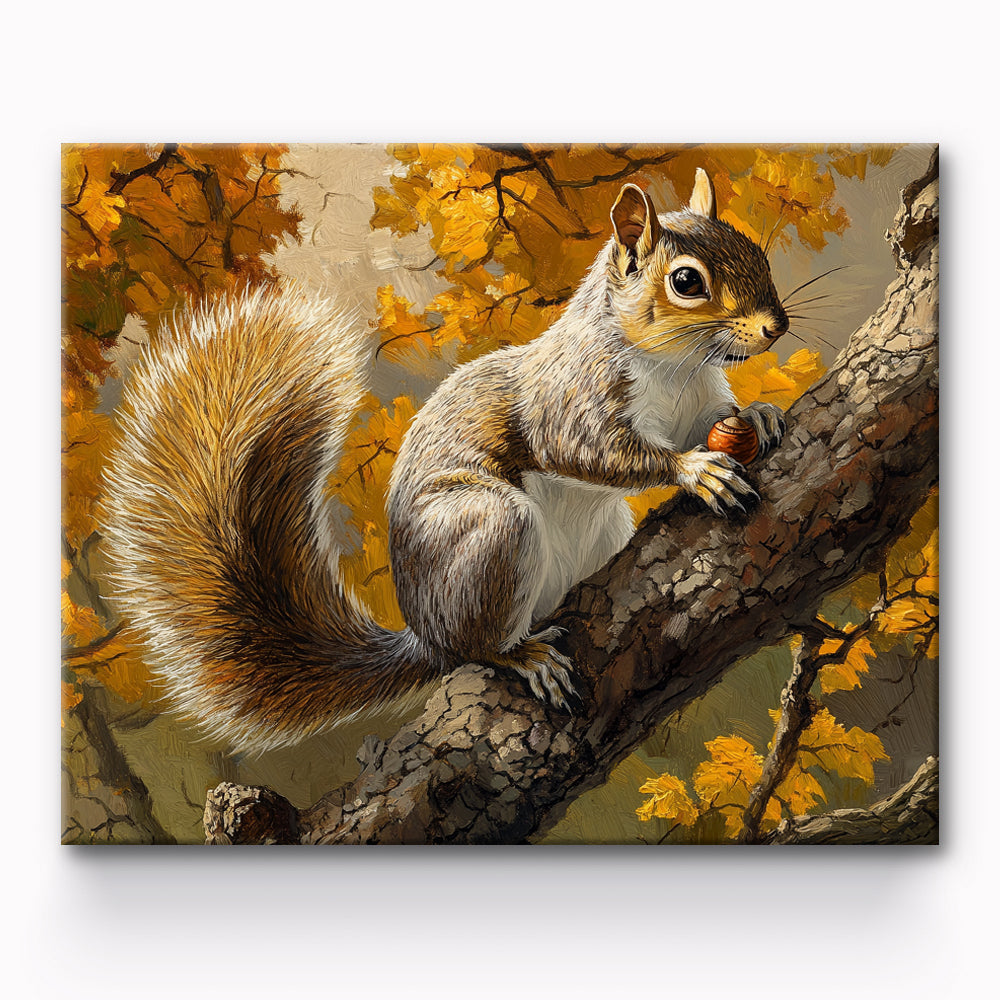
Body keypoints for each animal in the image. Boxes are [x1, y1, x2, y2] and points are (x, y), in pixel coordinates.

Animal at [101, 168, 789, 754]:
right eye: (687, 282)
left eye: (756, 251)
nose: (776, 327)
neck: (675, 369)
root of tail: (424, 633)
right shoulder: (569, 400)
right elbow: (591, 450)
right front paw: (694, 471)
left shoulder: (700, 404)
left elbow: (716, 419)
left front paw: (758, 416)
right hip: (487, 535)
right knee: (475, 647)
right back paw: (523, 656)